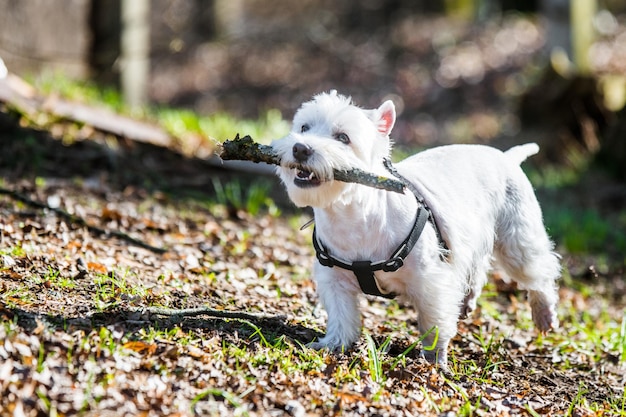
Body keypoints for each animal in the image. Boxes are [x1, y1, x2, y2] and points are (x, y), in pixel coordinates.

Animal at [270, 90, 560, 364]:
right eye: (304, 127)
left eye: (343, 138)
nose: (300, 148)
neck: (351, 216)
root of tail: (507, 157)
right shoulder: (334, 281)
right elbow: (342, 317)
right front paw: (332, 345)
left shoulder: (430, 282)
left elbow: (433, 324)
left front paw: (434, 361)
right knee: (477, 269)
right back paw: (467, 301)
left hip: (516, 239)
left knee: (539, 272)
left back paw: (544, 315)